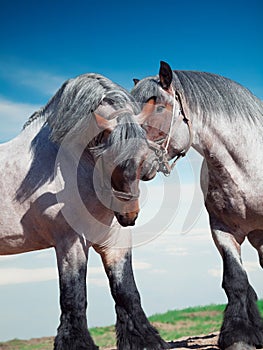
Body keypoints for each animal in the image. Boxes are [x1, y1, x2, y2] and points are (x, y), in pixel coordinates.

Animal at [0, 72, 169, 348]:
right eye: (108, 159)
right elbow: (73, 297)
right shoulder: (70, 243)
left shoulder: (115, 242)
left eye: (143, 156)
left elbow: (127, 292)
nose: (128, 215)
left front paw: (147, 340)